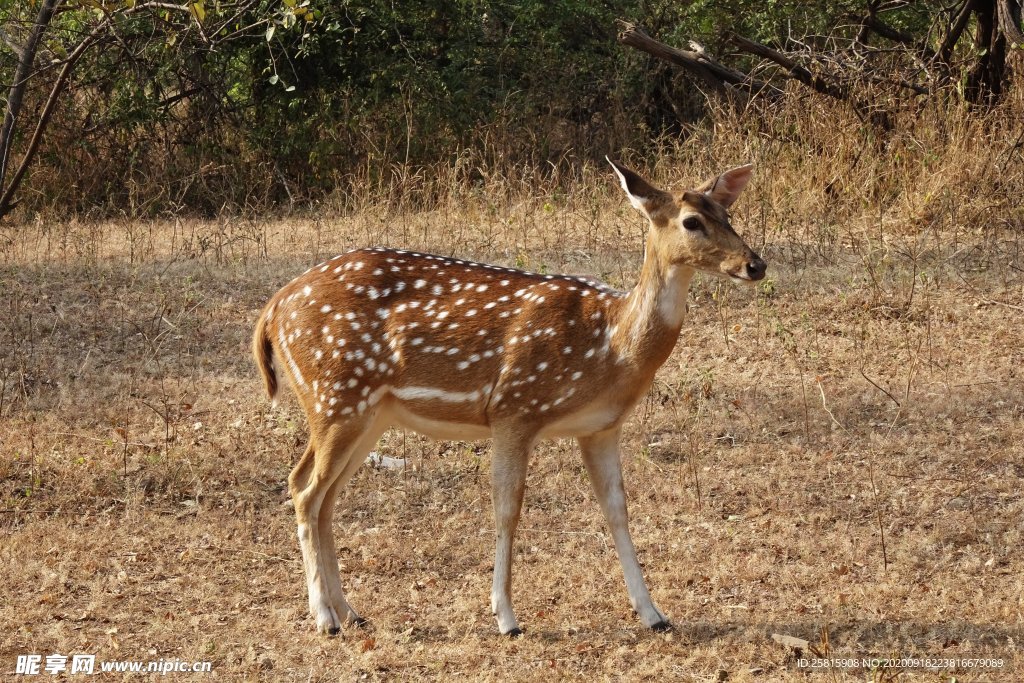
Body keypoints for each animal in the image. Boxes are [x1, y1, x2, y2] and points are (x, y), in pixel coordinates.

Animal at [253, 158, 770, 634]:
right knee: (304, 488)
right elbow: (508, 509)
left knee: (324, 495)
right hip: (335, 397)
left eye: (727, 212)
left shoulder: (601, 427)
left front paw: (654, 614)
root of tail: (273, 309)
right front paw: (506, 617)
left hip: (366, 413)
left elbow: (618, 511)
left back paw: (351, 612)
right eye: (692, 221)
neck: (610, 345)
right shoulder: (515, 408)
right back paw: (324, 618)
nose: (756, 264)